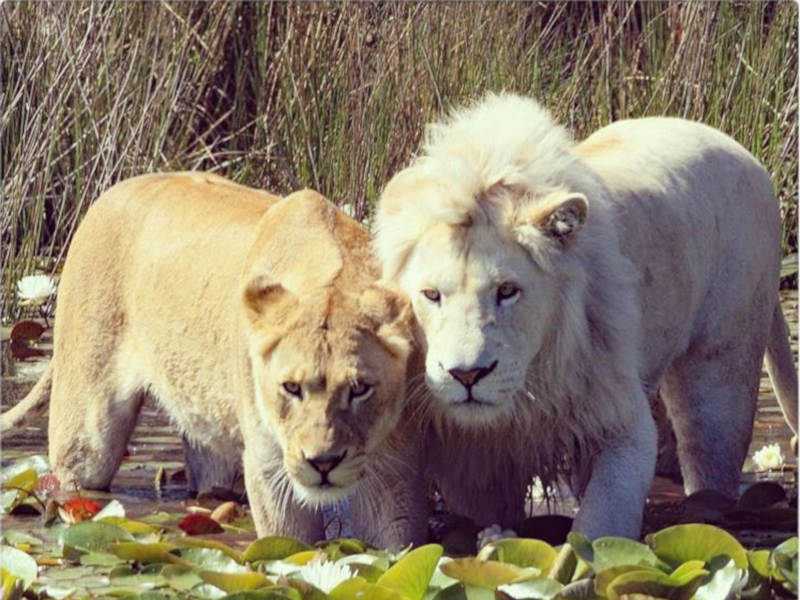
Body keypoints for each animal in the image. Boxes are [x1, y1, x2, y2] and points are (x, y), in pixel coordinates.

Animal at [376, 94, 800, 540]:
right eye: (431, 295)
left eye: (507, 291)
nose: (467, 375)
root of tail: (744, 152)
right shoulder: (462, 460)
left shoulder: (618, 418)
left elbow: (600, 528)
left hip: (722, 369)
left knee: (711, 452)